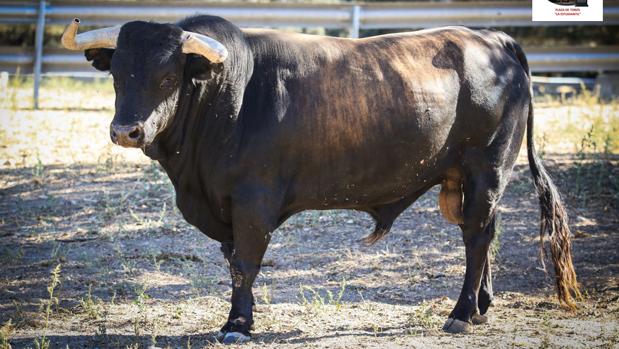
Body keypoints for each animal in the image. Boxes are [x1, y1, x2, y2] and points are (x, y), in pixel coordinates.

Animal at [74, 14, 580, 342]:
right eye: (117, 74)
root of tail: (492, 38)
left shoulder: (253, 201)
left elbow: (245, 263)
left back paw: (460, 314)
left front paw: (237, 325)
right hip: (465, 178)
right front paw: (239, 318)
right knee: (484, 232)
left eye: (167, 76)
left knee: (476, 238)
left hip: (486, 167)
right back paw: (481, 309)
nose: (126, 131)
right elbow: (233, 261)